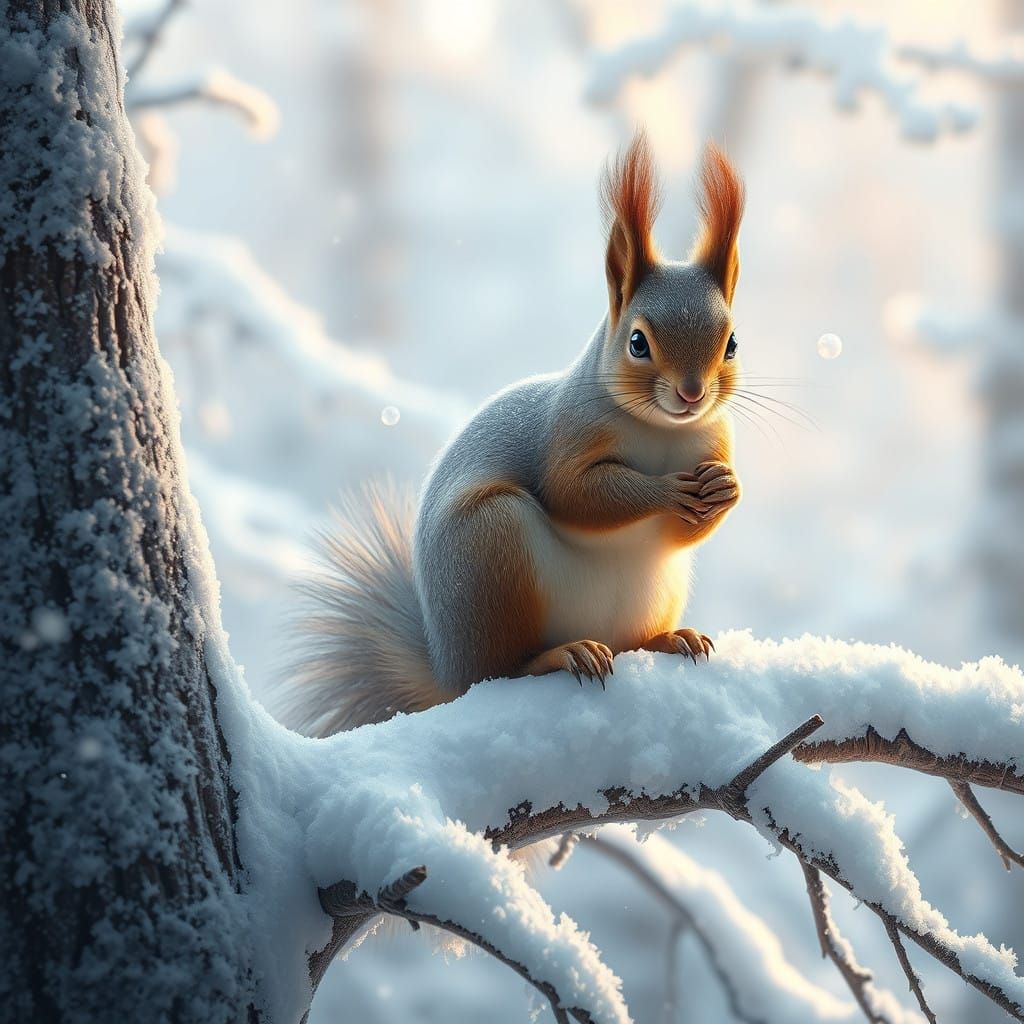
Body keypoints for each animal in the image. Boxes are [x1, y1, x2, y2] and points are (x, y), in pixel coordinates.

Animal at [283, 132, 745, 737]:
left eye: (732, 344)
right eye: (637, 342)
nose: (692, 394)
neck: (662, 430)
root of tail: (447, 665)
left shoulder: (711, 441)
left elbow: (683, 530)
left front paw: (726, 489)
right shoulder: (567, 434)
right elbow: (576, 495)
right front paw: (666, 490)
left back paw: (670, 638)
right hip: (493, 550)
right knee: (502, 670)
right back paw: (564, 654)